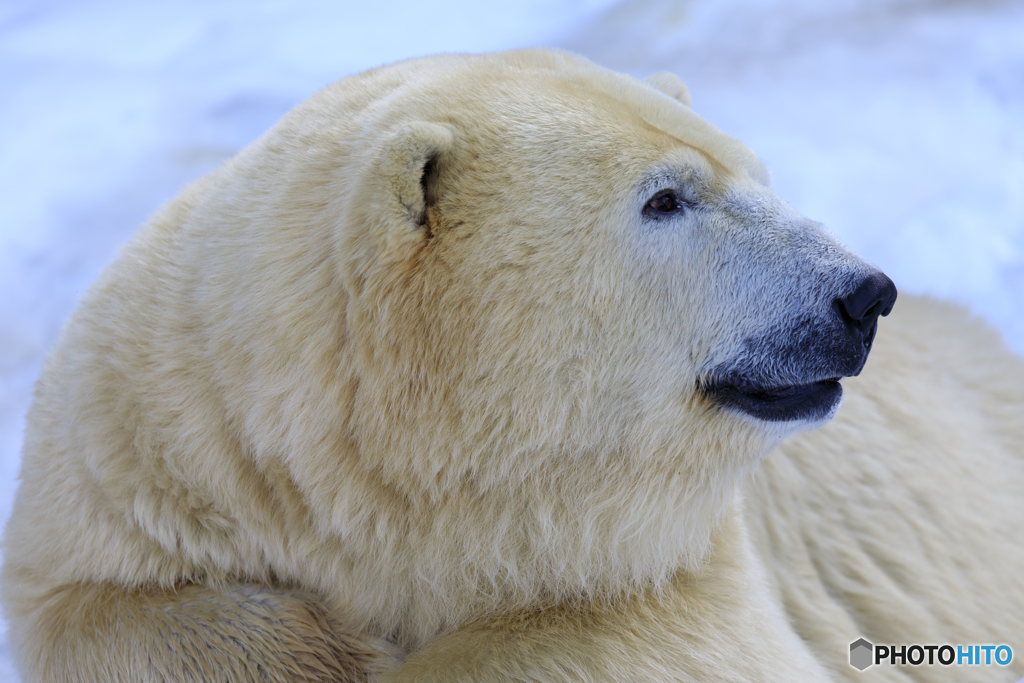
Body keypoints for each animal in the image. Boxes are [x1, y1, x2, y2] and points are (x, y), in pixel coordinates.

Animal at [2, 49, 1024, 683]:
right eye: (665, 198)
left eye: (757, 176)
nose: (862, 295)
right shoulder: (160, 442)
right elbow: (91, 607)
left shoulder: (674, 559)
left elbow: (650, 646)